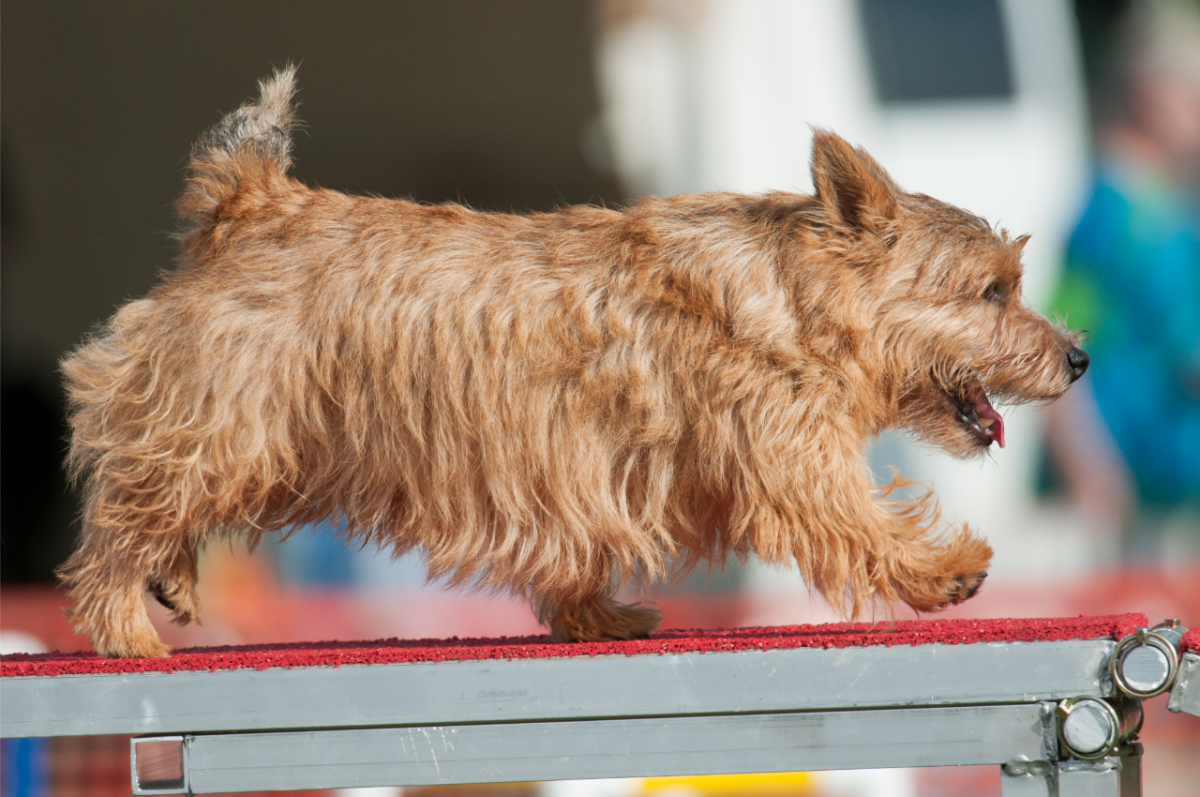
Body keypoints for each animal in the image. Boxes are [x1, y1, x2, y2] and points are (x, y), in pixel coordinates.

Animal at [58, 68, 1089, 657]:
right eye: (992, 291)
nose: (1080, 356)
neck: (792, 296)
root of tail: (253, 197)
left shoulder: (584, 465)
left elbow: (578, 547)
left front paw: (593, 615)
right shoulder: (787, 456)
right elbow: (859, 516)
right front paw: (942, 568)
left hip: (231, 429)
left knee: (158, 502)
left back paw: (171, 581)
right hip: (220, 417)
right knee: (121, 510)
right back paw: (122, 625)